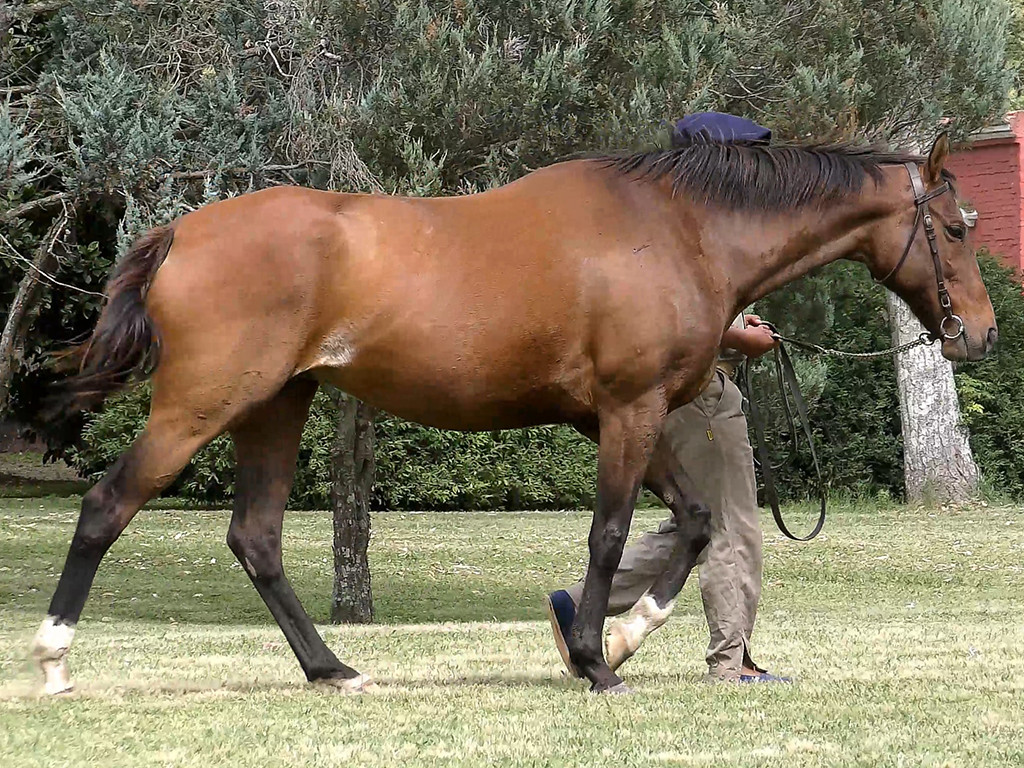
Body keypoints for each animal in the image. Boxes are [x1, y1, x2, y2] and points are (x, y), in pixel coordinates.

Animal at [32, 133, 995, 695]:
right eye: (954, 229)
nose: (979, 332)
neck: (680, 228)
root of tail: (181, 235)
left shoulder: (610, 418)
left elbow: (692, 522)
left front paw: (621, 637)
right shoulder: (629, 410)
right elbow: (611, 534)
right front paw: (595, 663)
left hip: (274, 406)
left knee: (256, 539)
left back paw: (332, 669)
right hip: (201, 406)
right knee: (107, 507)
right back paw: (53, 661)